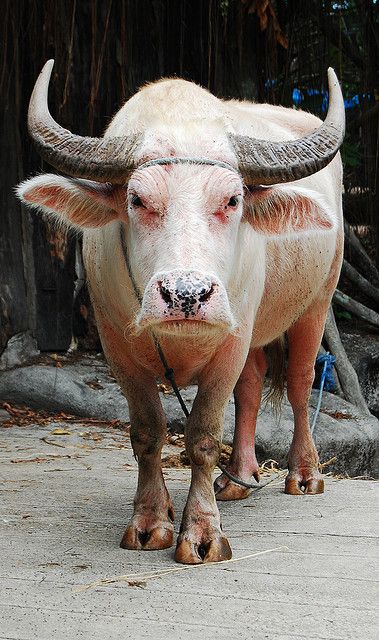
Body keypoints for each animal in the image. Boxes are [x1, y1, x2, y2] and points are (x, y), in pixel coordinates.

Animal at [17, 58, 344, 560]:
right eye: (137, 199)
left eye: (232, 200)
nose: (186, 295)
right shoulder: (118, 350)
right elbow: (148, 433)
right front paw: (151, 521)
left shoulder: (230, 344)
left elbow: (204, 436)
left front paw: (203, 532)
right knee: (252, 386)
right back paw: (240, 478)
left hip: (317, 302)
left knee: (299, 381)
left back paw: (304, 474)